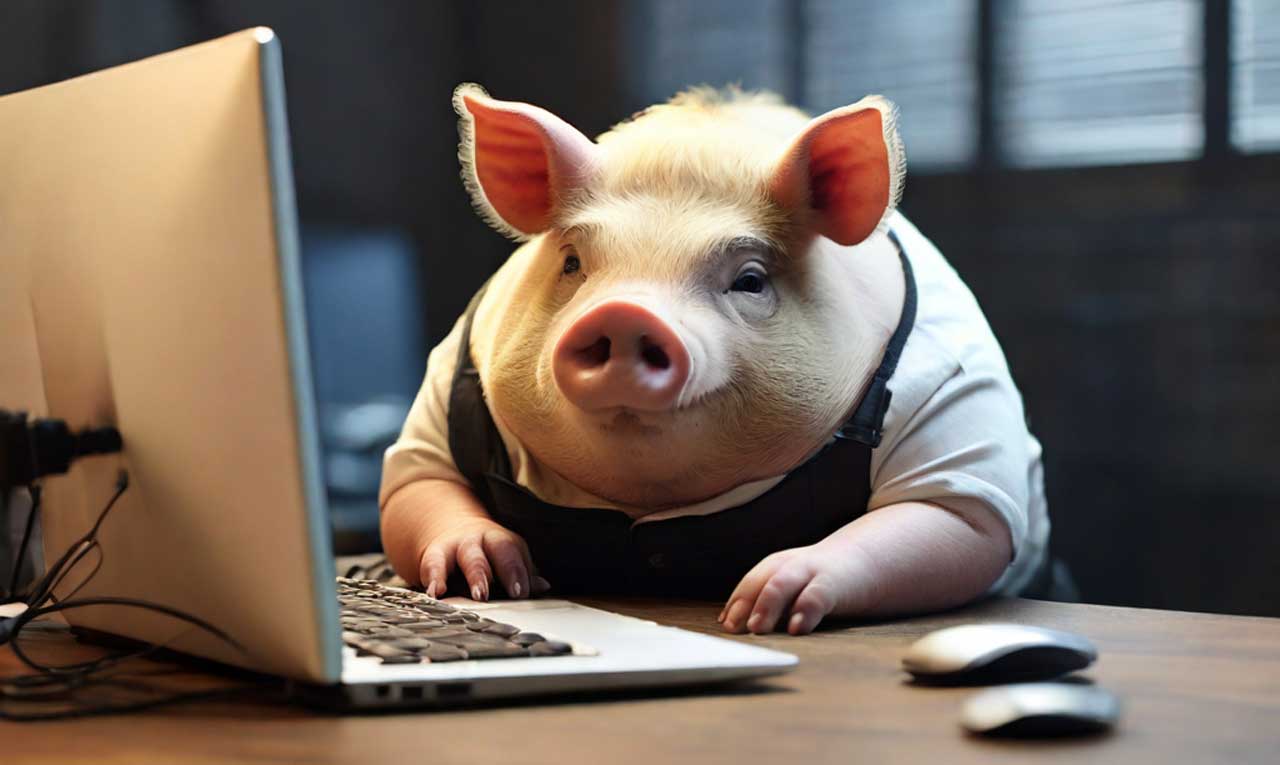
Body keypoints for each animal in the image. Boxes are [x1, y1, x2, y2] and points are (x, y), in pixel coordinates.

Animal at [379, 84, 1049, 635]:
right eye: (572, 263)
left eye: (750, 280)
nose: (623, 313)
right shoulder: (446, 381)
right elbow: (416, 481)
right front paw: (490, 575)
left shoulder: (952, 401)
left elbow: (951, 518)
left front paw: (757, 606)